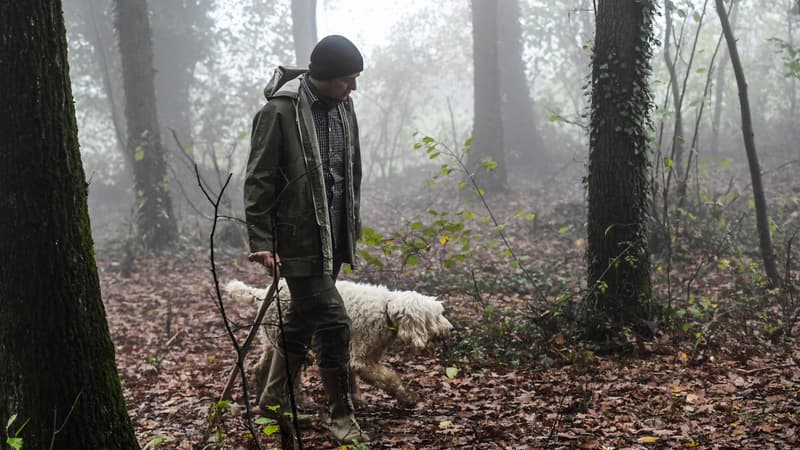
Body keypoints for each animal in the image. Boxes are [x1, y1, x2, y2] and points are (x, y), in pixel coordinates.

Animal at [225, 278, 454, 408]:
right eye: (437, 316)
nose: (451, 329)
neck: (385, 309)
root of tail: (264, 293)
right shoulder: (362, 358)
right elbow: (388, 378)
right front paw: (406, 397)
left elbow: (349, 377)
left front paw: (356, 399)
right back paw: (300, 401)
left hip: (272, 339)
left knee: (261, 367)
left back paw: (261, 395)